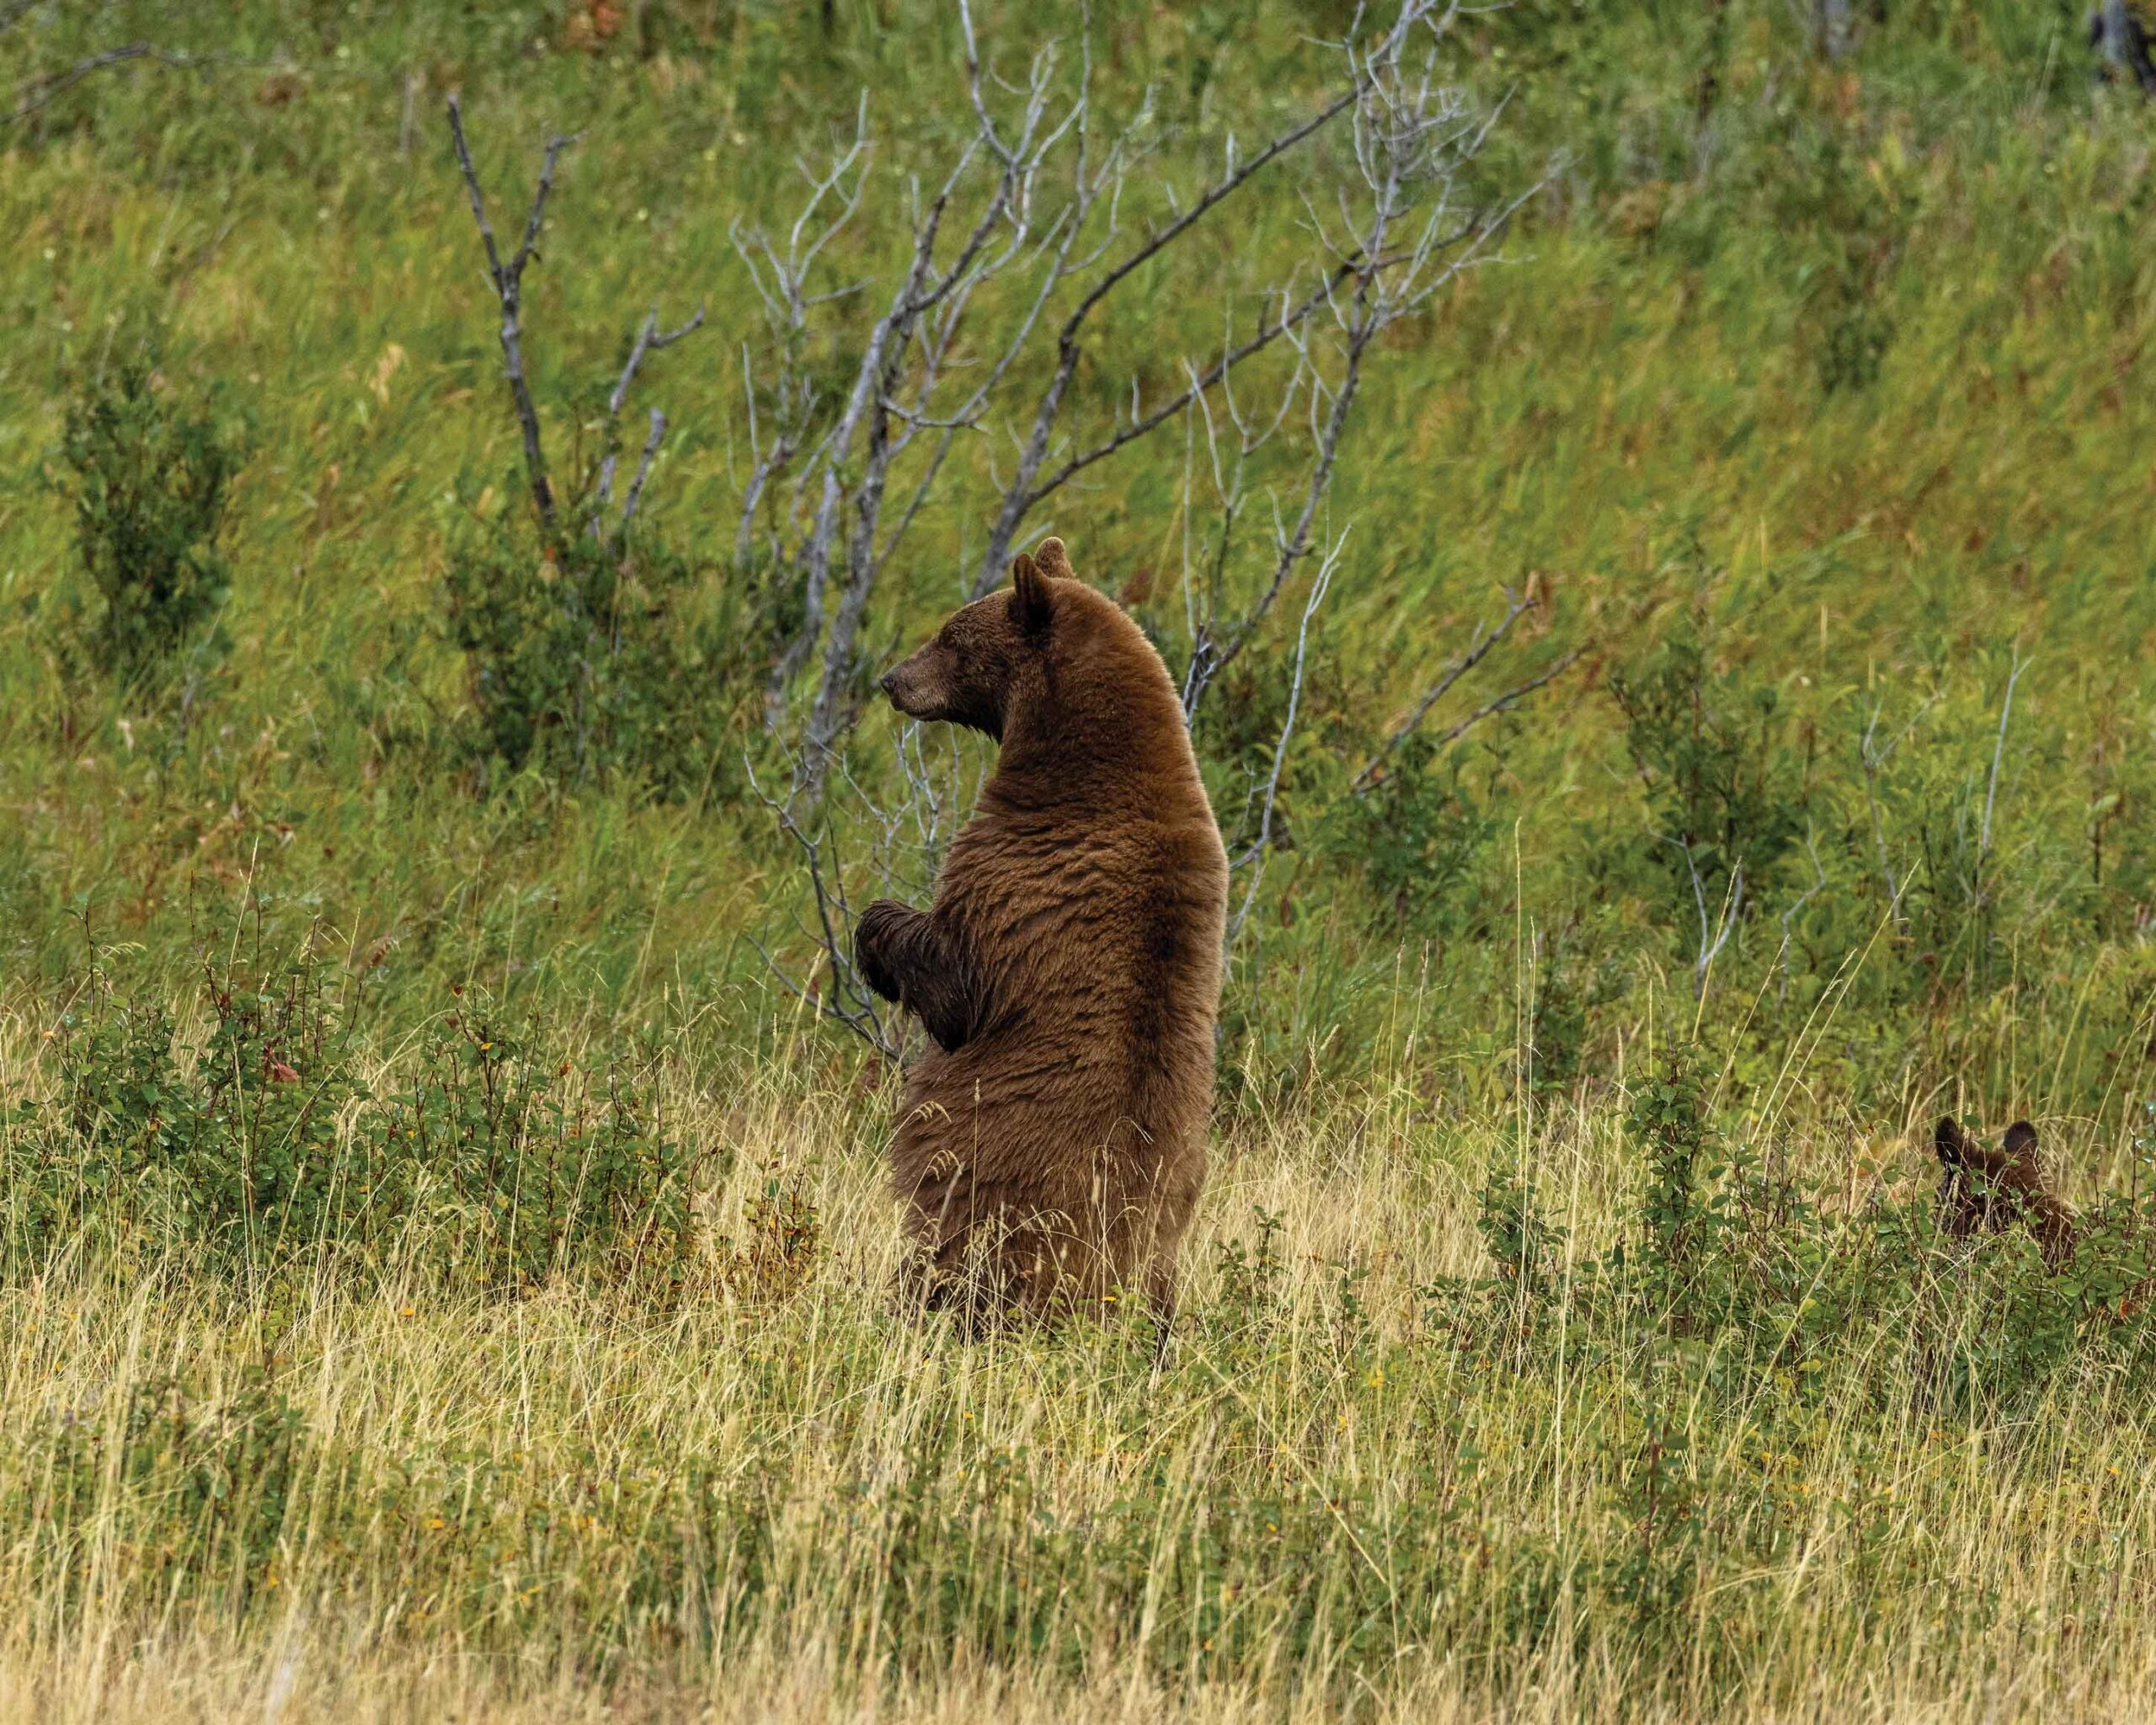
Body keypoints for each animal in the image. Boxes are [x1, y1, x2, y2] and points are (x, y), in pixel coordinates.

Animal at [853, 535, 1229, 1335]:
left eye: (951, 637)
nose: (892, 679)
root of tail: (1107, 1288)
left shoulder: (1014, 874)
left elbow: (954, 983)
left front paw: (876, 934)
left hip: (981, 1217)